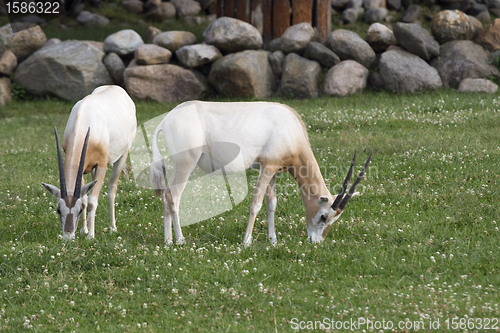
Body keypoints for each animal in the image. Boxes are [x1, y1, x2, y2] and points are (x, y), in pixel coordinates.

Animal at [42, 84, 137, 237]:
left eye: (79, 210)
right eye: (58, 210)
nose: (68, 235)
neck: (82, 124)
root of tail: (116, 88)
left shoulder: (101, 165)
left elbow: (92, 201)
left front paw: (91, 235)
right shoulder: (82, 167)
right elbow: (84, 198)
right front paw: (84, 230)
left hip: (122, 155)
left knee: (112, 189)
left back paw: (112, 227)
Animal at [150, 100, 374, 244]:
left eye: (333, 220)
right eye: (324, 216)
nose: (316, 241)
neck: (291, 127)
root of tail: (165, 120)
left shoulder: (274, 169)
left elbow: (271, 204)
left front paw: (272, 239)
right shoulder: (266, 167)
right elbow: (256, 204)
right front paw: (247, 241)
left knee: (166, 195)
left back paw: (168, 241)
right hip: (185, 163)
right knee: (173, 195)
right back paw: (180, 240)